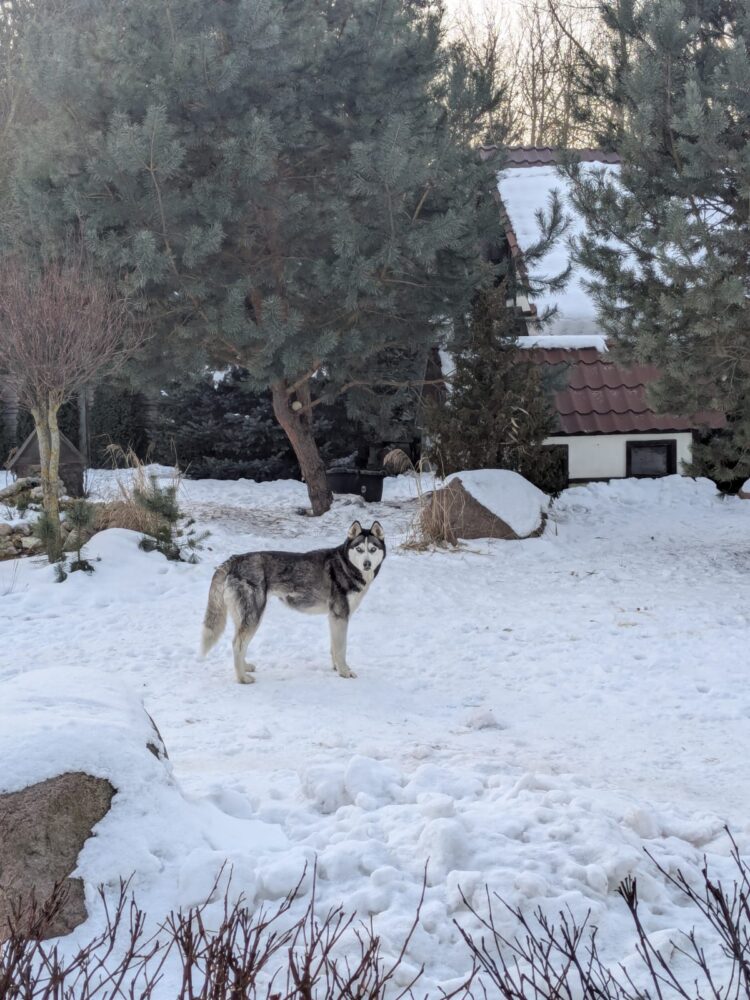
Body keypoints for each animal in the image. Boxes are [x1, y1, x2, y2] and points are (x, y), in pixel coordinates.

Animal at [201, 521, 386, 684]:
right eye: (359, 549)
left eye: (372, 549)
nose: (367, 564)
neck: (346, 565)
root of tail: (235, 559)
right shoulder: (340, 616)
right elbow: (341, 649)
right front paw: (345, 672)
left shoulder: (334, 618)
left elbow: (334, 647)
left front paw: (336, 668)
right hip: (254, 616)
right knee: (237, 644)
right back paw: (242, 679)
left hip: (243, 617)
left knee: (239, 642)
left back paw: (245, 667)